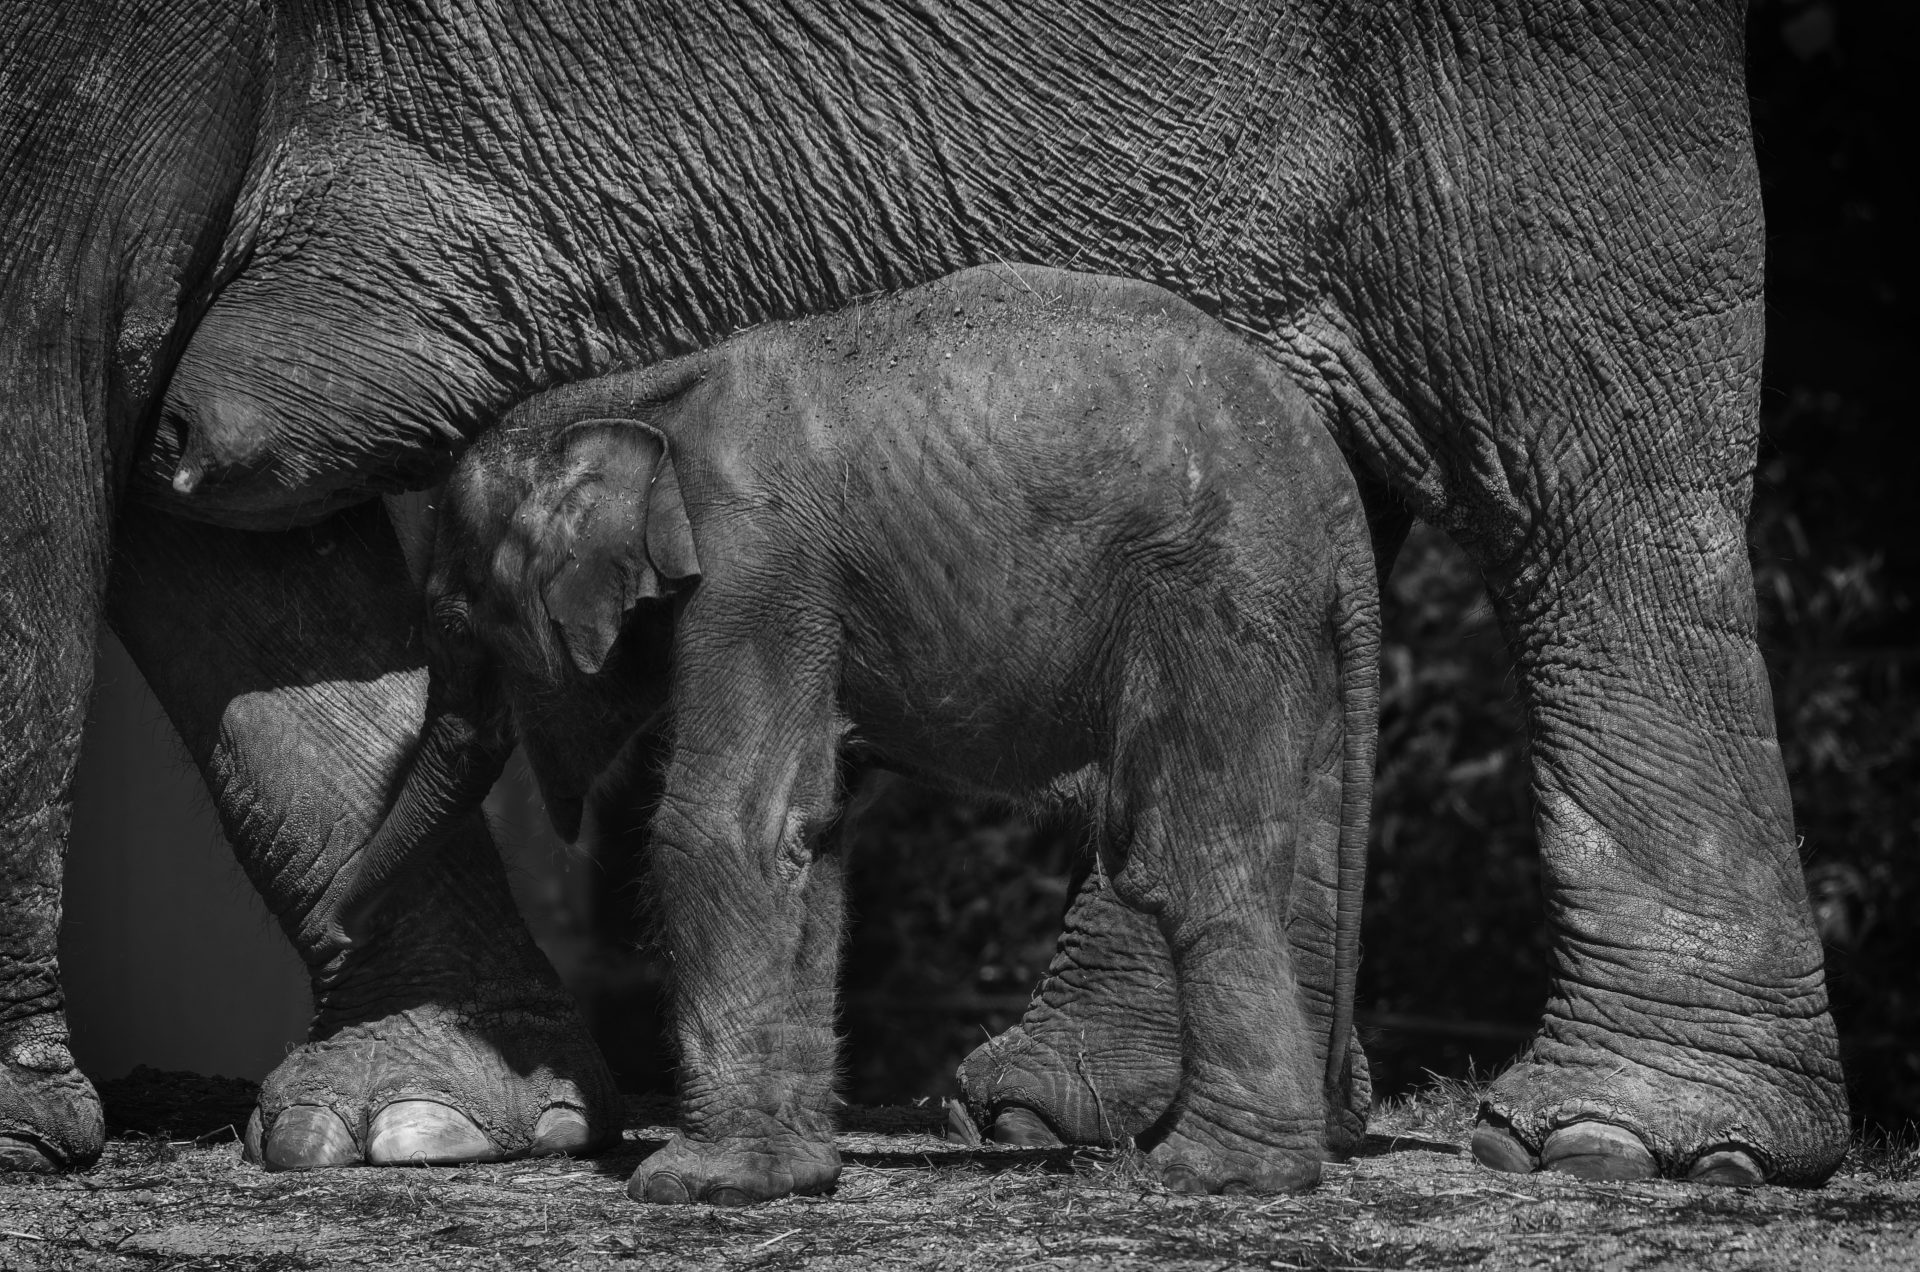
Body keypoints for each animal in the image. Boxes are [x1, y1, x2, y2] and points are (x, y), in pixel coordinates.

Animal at [413, 266, 1379, 1202]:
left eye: (457, 624)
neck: (636, 392)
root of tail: (1337, 493)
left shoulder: (757, 563)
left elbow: (730, 825)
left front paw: (694, 1186)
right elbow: (809, 832)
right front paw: (791, 1178)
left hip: (1215, 600)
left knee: (1193, 863)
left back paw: (1211, 1174)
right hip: (1290, 628)